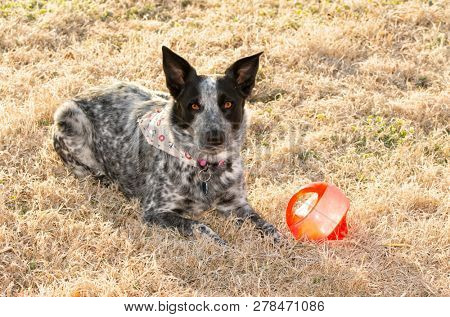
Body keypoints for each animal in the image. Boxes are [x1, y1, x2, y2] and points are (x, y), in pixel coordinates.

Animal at [53, 47, 282, 243]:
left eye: (228, 104)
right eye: (194, 105)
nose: (214, 137)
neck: (204, 166)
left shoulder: (236, 204)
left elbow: (267, 226)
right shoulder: (155, 212)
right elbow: (200, 226)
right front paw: (222, 245)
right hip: (69, 116)